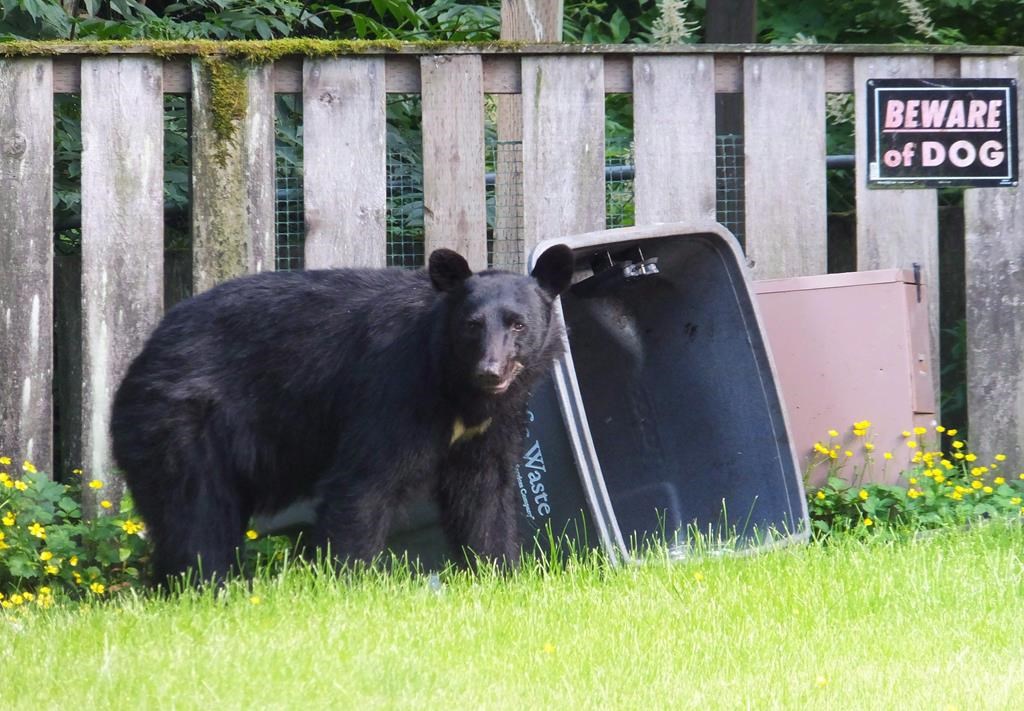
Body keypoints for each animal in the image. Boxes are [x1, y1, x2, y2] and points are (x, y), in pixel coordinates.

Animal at [109, 245, 575, 584]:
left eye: (517, 324)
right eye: (472, 325)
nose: (490, 371)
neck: (456, 387)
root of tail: (144, 354)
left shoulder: (492, 424)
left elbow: (484, 491)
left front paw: (498, 573)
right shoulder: (394, 390)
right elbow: (365, 483)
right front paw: (347, 582)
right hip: (181, 423)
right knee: (196, 512)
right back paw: (208, 584)